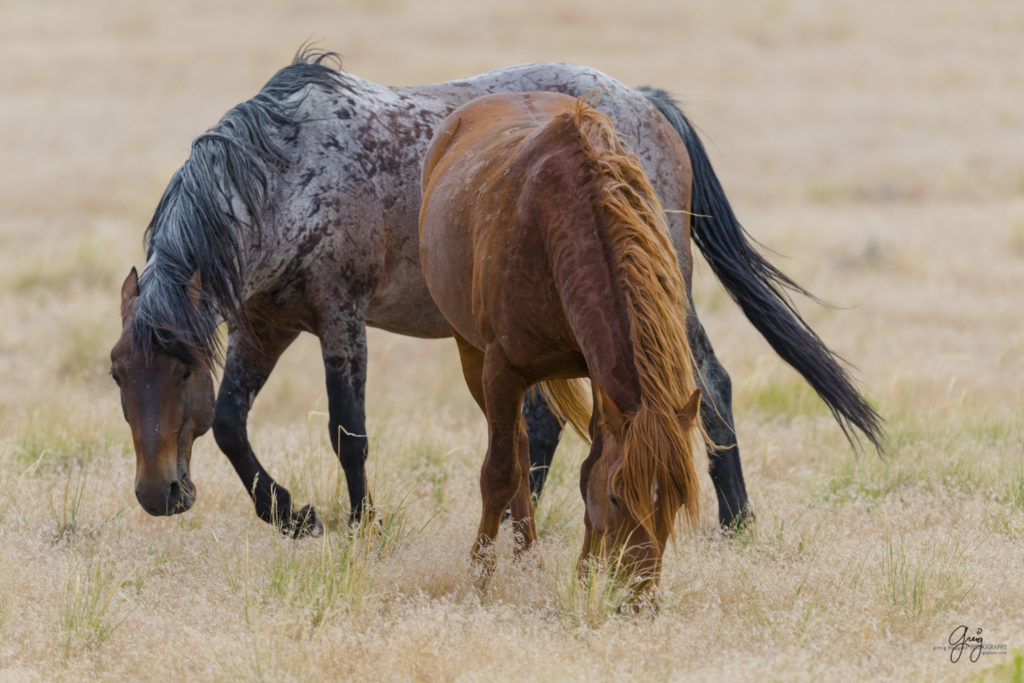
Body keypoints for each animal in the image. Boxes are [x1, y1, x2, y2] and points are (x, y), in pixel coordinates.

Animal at [110, 50, 880, 536]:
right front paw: (293, 516)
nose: (158, 495)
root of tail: (647, 103)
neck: (283, 172)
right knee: (543, 421)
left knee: (707, 381)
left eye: (183, 367)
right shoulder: (265, 324)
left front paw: (361, 526)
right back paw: (519, 517)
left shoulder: (340, 316)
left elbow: (347, 430)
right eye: (117, 373)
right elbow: (230, 422)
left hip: (656, 288)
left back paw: (736, 520)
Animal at [415, 92, 704, 593]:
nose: (639, 596)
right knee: (515, 447)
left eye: (676, 497)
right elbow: (499, 473)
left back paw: (530, 559)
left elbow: (589, 468)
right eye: (618, 497)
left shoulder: (601, 378)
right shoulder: (500, 369)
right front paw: (480, 576)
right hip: (472, 356)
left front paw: (585, 576)